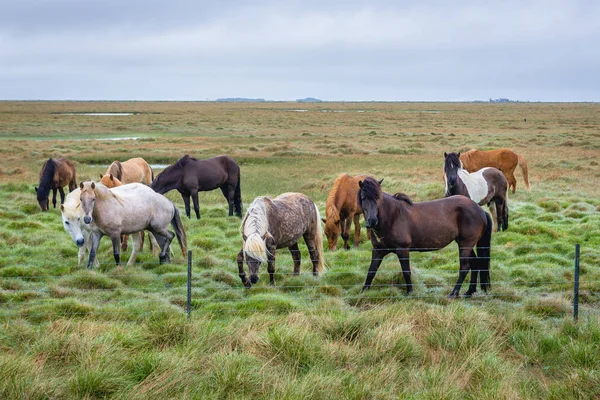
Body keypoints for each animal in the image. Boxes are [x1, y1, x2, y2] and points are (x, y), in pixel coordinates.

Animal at [356, 177, 492, 296]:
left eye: (378, 198)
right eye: (363, 198)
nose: (372, 221)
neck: (393, 217)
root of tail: (480, 210)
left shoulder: (402, 250)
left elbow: (406, 272)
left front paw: (409, 293)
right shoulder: (378, 250)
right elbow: (371, 271)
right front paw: (363, 292)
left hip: (466, 243)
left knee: (464, 267)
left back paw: (454, 293)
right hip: (463, 243)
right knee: (475, 263)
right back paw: (469, 292)